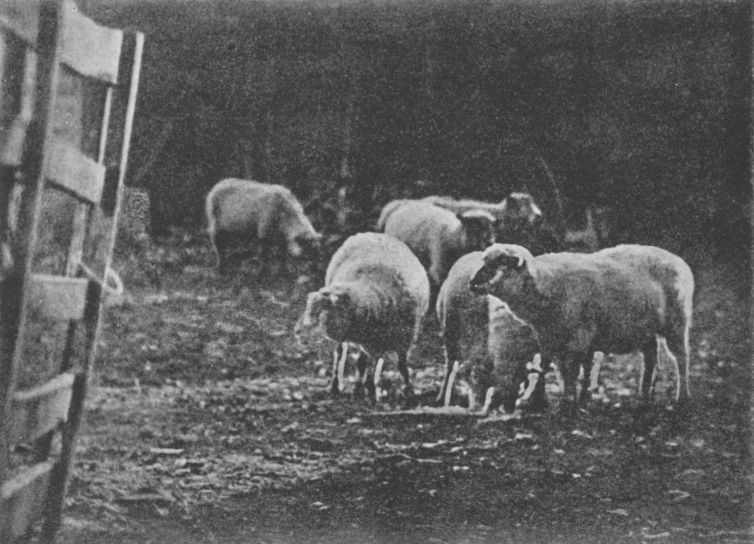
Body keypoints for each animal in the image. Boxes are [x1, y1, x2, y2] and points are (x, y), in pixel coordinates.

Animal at [294, 233, 428, 400]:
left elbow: (400, 366)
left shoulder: (403, 340)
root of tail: (371, 233)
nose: (297, 331)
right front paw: (371, 392)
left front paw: (407, 389)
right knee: (340, 355)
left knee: (362, 361)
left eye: (321, 311)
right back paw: (336, 386)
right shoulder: (373, 345)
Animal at [470, 244, 692, 410]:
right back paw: (644, 396)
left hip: (676, 322)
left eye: (501, 262)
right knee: (651, 357)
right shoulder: (555, 341)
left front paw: (571, 402)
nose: (472, 283)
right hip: (645, 329)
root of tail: (678, 260)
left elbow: (573, 372)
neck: (544, 285)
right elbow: (565, 372)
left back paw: (682, 397)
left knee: (681, 358)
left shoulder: (578, 339)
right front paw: (573, 399)